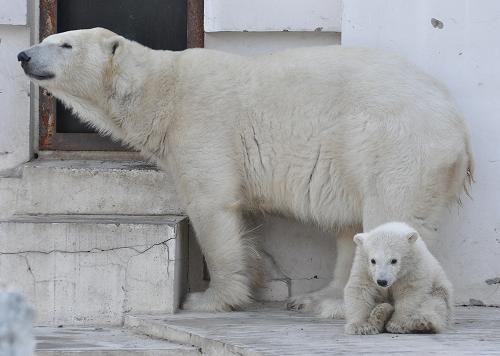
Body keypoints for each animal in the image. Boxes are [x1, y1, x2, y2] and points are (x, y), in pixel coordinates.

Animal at [18, 29, 472, 316]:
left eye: (65, 43)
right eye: (47, 39)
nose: (23, 55)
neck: (160, 91)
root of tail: (458, 125)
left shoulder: (201, 125)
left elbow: (212, 207)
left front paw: (208, 300)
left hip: (393, 147)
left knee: (386, 215)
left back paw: (340, 304)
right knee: (351, 228)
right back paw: (317, 298)